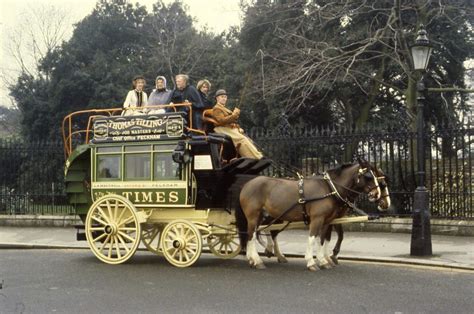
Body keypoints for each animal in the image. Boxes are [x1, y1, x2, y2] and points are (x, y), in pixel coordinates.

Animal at [235, 158, 384, 272]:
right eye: (368, 176)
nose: (377, 195)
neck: (329, 188)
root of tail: (247, 184)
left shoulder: (326, 220)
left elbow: (322, 239)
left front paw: (323, 261)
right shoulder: (317, 218)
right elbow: (312, 239)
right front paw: (311, 262)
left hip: (262, 216)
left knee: (254, 234)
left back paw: (253, 258)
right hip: (253, 215)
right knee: (251, 235)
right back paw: (257, 260)